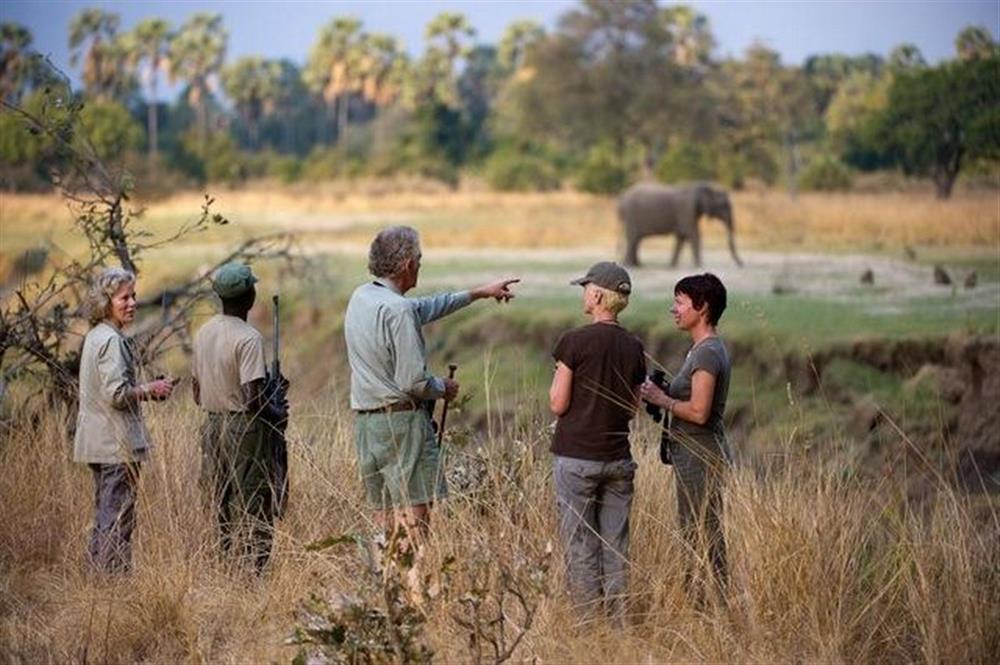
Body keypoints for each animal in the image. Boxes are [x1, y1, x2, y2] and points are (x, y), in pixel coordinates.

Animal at [616, 182, 744, 268]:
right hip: (631, 216)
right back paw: (630, 266)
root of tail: (621, 198)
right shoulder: (687, 210)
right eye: (723, 205)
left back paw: (637, 265)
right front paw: (700, 265)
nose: (741, 264)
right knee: (633, 238)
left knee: (636, 239)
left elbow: (681, 237)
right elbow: (694, 234)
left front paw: (672, 265)